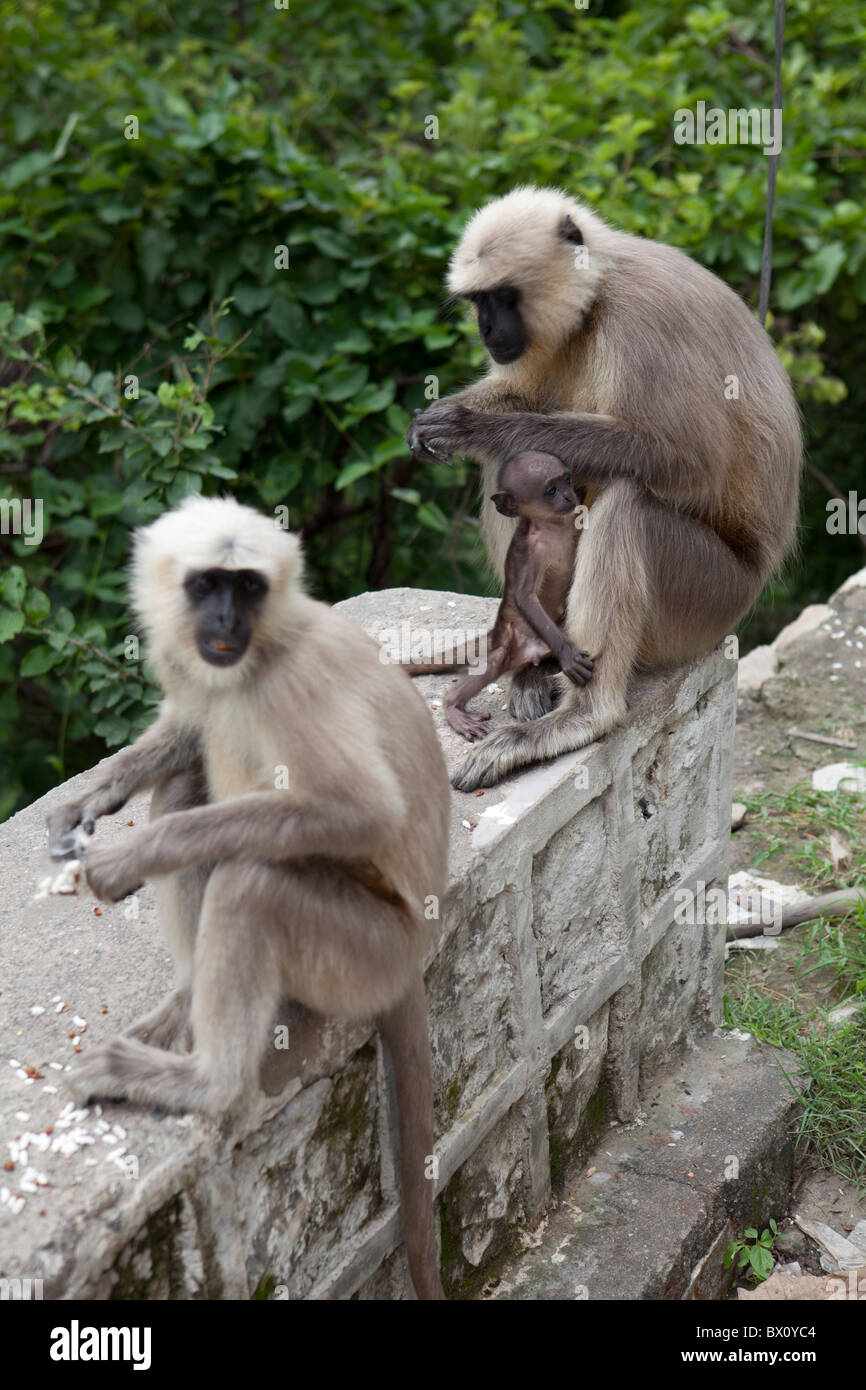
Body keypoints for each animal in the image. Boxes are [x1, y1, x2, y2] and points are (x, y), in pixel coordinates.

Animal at [45, 495, 450, 1301]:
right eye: (207, 584)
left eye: (247, 586)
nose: (226, 619)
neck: (265, 648)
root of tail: (412, 952)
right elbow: (188, 730)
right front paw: (91, 799)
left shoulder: (293, 687)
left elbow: (363, 813)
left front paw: (128, 855)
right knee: (189, 782)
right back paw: (182, 1010)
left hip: (362, 952)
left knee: (253, 879)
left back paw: (208, 1086)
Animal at [406, 451, 593, 743]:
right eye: (551, 490)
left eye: (567, 480)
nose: (568, 496)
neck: (551, 526)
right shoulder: (528, 552)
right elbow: (524, 597)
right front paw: (568, 655)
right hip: (512, 640)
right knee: (494, 662)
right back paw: (453, 706)